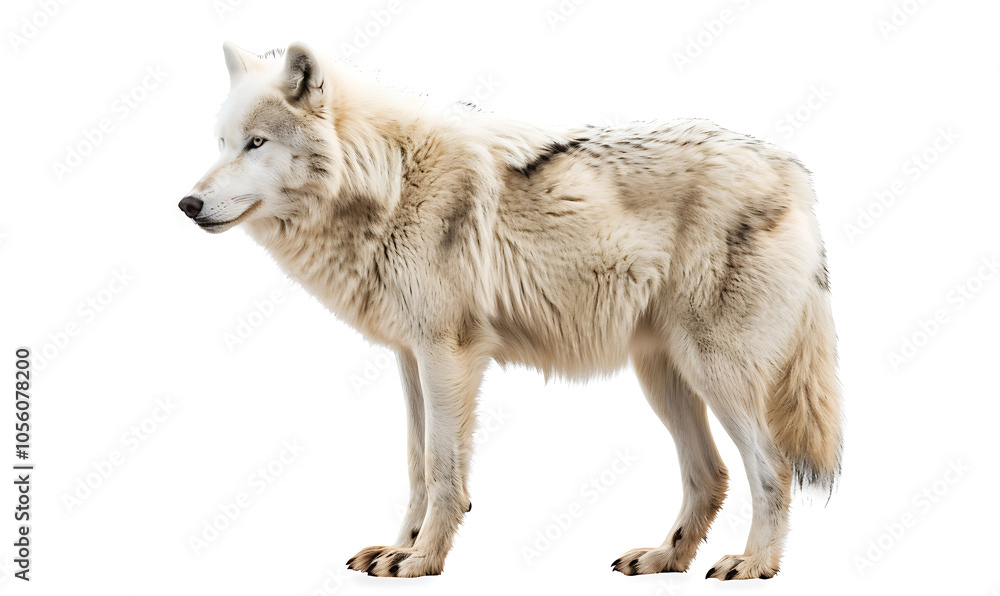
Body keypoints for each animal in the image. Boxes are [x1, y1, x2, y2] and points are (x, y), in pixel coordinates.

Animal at [179, 42, 843, 580]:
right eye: (221, 143)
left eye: (256, 143)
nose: (187, 203)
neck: (390, 181)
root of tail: (794, 174)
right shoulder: (411, 358)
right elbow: (418, 467)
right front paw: (400, 548)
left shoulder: (449, 355)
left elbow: (444, 471)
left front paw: (423, 560)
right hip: (663, 376)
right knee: (711, 476)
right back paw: (664, 558)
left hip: (715, 372)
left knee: (772, 467)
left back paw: (754, 564)